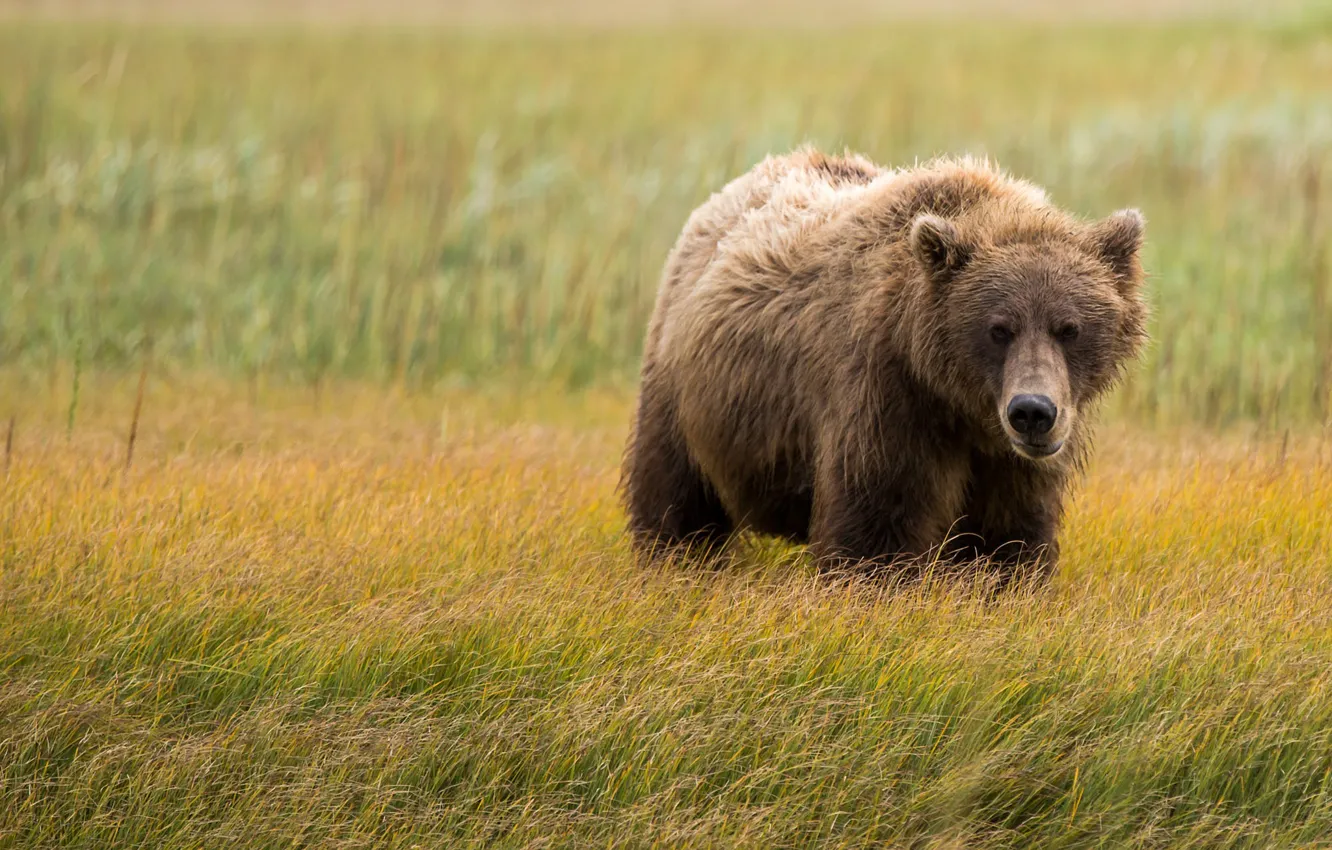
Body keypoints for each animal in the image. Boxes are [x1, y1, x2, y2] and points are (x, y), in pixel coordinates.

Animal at [618, 147, 1150, 586]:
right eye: (999, 329)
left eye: (1069, 328)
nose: (1032, 411)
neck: (959, 406)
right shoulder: (886, 397)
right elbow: (876, 528)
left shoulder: (1009, 460)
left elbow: (1004, 536)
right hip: (686, 390)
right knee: (676, 493)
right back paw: (674, 558)